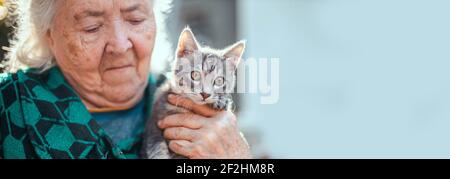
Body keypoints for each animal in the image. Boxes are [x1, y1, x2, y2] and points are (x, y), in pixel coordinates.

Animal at [142, 27, 244, 159]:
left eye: (219, 81)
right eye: (195, 75)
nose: (205, 94)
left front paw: (222, 101)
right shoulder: (155, 122)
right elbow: (156, 148)